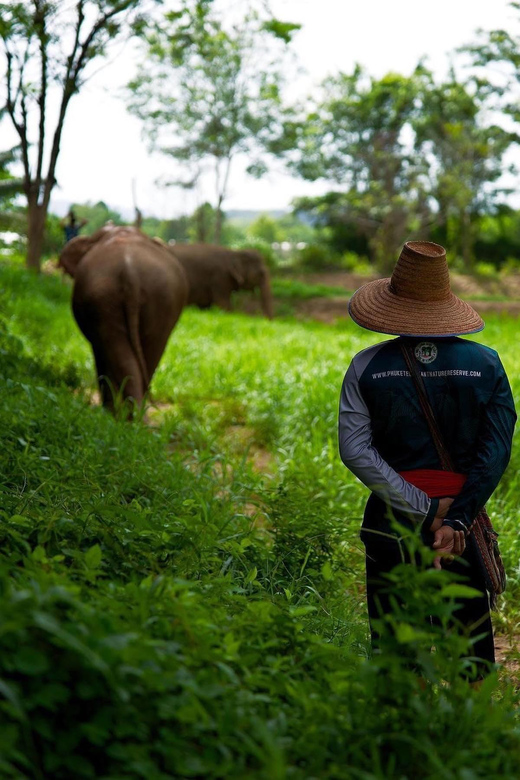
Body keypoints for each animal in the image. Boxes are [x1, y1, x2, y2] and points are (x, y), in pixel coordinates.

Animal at [58, 222, 188, 412]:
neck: (124, 233)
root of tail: (130, 273)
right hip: (160, 299)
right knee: (148, 355)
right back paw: (134, 416)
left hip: (106, 299)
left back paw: (117, 415)